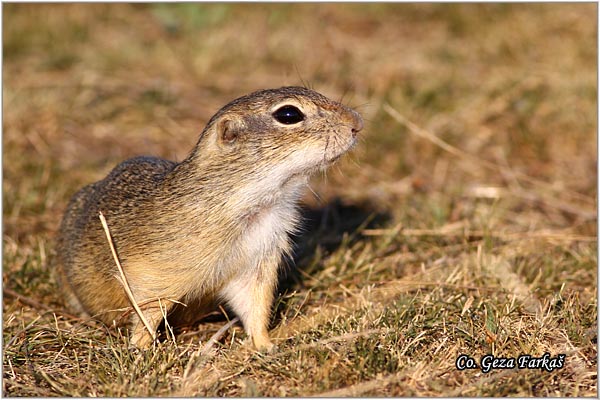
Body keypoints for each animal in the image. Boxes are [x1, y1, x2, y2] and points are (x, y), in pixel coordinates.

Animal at [56, 85, 364, 350]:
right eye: (289, 114)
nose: (357, 122)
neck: (257, 204)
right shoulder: (153, 271)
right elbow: (147, 310)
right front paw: (143, 349)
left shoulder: (256, 265)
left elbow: (255, 307)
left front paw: (265, 345)